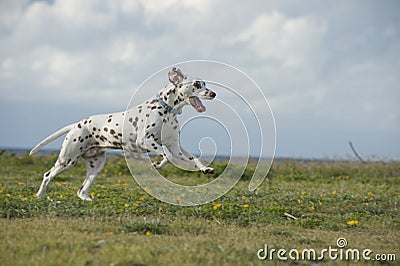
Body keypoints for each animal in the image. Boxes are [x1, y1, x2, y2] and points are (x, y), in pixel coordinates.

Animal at [29, 67, 217, 201]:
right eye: (197, 84)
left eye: (205, 84)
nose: (213, 93)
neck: (166, 109)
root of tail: (77, 124)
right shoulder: (146, 141)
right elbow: (167, 155)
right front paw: (157, 164)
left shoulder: (175, 147)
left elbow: (193, 159)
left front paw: (205, 169)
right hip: (67, 160)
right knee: (47, 175)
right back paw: (40, 196)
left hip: (96, 166)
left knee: (81, 190)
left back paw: (86, 198)